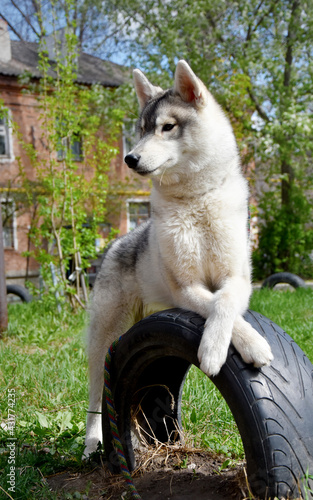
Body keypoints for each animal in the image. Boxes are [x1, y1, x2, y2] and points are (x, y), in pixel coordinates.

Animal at [84, 59, 272, 458]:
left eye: (166, 127)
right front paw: (230, 347)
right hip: (104, 336)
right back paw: (92, 440)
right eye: (140, 130)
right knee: (94, 396)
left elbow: (224, 302)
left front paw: (229, 345)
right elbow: (215, 304)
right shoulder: (186, 288)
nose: (130, 158)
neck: (196, 201)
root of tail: (119, 242)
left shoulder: (238, 280)